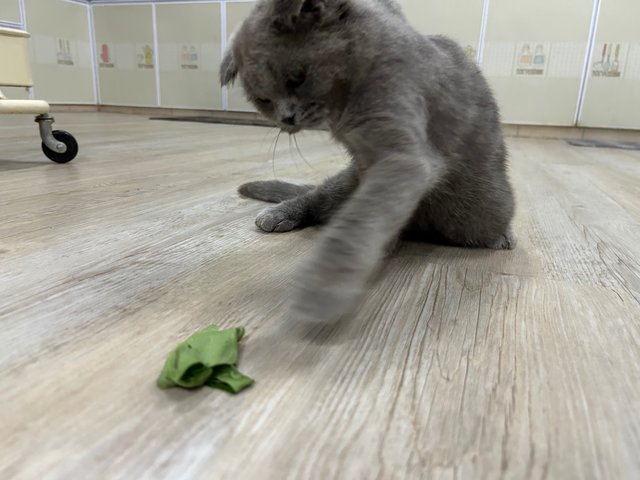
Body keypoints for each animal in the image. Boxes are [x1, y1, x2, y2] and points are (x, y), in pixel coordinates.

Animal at [220, 0, 516, 324]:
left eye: (296, 79)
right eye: (263, 100)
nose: (286, 118)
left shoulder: (403, 157)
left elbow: (362, 219)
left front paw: (323, 286)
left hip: (481, 211)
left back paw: (502, 237)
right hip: (348, 183)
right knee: (317, 197)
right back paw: (279, 215)